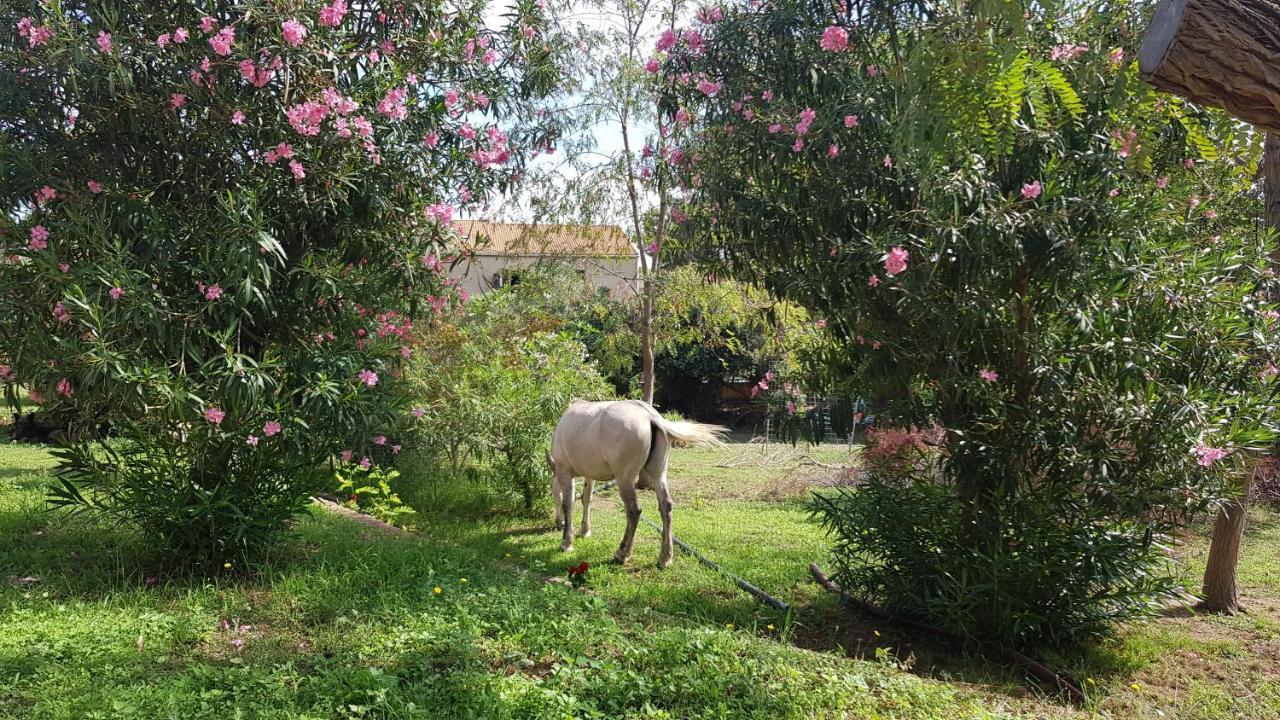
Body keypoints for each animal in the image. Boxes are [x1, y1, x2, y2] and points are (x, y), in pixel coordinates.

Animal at [545, 397, 727, 566]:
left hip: (624, 479)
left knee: (633, 511)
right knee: (666, 506)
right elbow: (586, 498)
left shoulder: (564, 472)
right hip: (658, 474)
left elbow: (568, 503)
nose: (558, 522)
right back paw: (665, 557)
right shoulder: (589, 474)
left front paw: (566, 542)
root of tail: (650, 416)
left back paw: (622, 553)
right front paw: (584, 531)